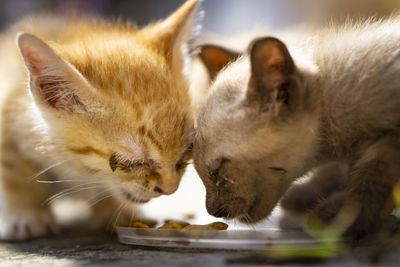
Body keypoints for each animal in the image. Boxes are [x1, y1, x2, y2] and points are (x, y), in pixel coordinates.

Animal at [0, 0, 200, 242]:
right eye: (130, 163)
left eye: (188, 149)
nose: (170, 189)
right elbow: (13, 169)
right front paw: (25, 215)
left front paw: (116, 211)